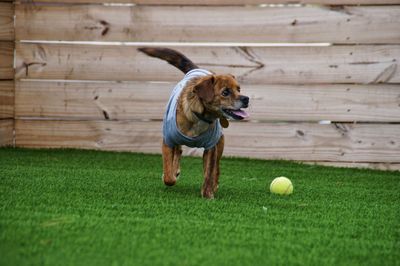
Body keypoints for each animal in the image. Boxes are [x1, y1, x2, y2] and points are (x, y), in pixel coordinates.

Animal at [139, 47, 248, 197]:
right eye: (225, 92)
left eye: (238, 89)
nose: (246, 99)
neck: (199, 117)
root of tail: (198, 70)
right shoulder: (167, 142)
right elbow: (168, 175)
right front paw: (171, 176)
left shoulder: (211, 147)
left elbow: (209, 172)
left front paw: (208, 194)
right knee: (178, 151)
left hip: (220, 142)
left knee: (216, 167)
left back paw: (214, 183)